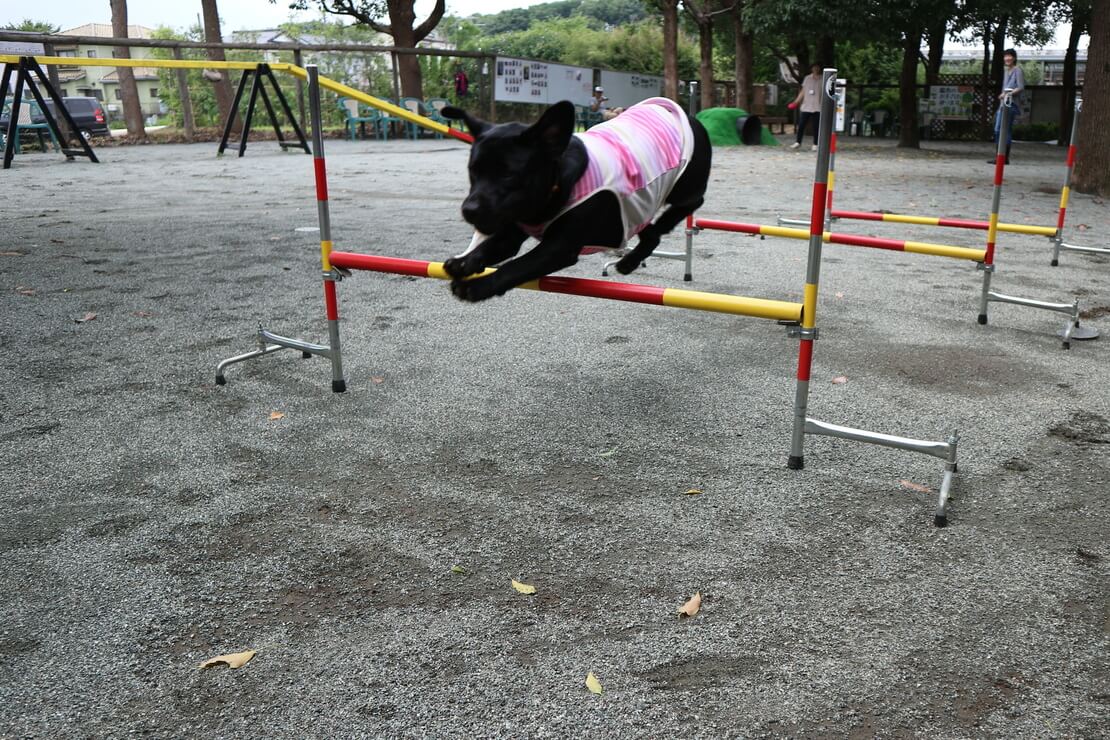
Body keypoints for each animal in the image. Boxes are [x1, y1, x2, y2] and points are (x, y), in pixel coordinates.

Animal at [435, 97, 705, 301]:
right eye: (473, 171)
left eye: (508, 175)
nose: (469, 209)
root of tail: (687, 115)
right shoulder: (512, 232)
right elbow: (489, 247)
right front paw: (464, 263)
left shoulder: (559, 248)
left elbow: (516, 266)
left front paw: (475, 287)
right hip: (635, 211)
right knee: (650, 235)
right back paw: (629, 261)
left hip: (683, 184)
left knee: (691, 203)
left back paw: (664, 223)